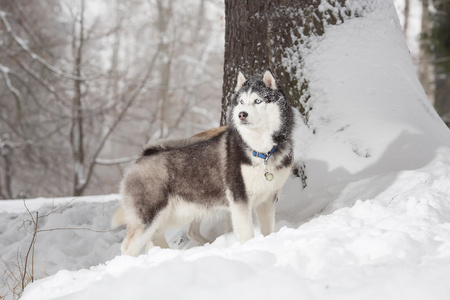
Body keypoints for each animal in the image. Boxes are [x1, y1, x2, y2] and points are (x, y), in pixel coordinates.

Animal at [119, 70, 294, 255]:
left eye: (258, 100)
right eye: (241, 102)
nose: (242, 114)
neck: (261, 152)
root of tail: (141, 158)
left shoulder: (269, 198)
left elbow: (268, 230)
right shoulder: (239, 199)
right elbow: (247, 233)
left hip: (175, 215)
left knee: (156, 235)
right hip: (149, 217)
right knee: (128, 247)